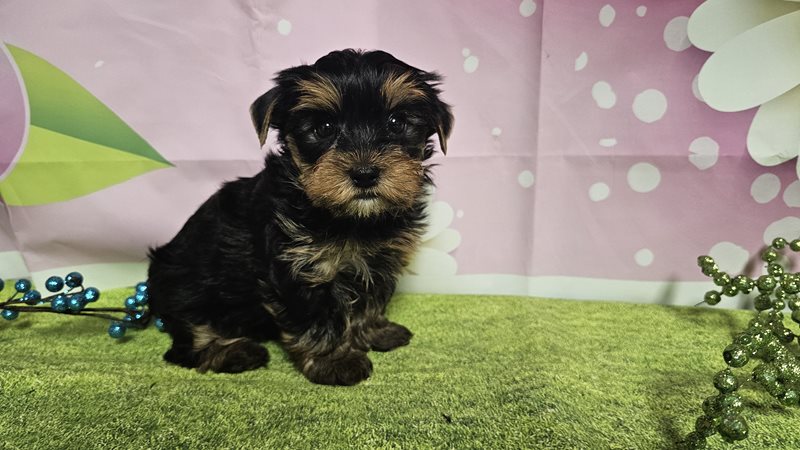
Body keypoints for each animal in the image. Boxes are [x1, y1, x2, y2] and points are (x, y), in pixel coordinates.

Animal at [147, 49, 453, 385]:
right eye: (324, 128)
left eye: (396, 122)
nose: (364, 174)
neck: (350, 219)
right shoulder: (300, 267)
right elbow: (317, 318)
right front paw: (334, 361)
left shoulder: (378, 259)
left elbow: (370, 298)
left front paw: (375, 331)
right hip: (187, 287)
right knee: (188, 339)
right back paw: (234, 352)